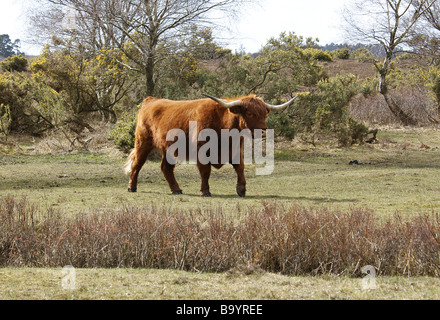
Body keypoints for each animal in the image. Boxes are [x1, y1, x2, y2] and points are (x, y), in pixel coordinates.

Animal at [123, 94, 300, 196]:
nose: (263, 132)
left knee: (166, 168)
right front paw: (205, 191)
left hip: (168, 149)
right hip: (143, 142)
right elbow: (205, 172)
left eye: (264, 113)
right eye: (250, 113)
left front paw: (241, 189)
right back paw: (132, 187)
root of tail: (151, 100)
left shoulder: (236, 151)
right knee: (137, 164)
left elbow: (240, 168)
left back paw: (176, 189)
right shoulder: (202, 152)